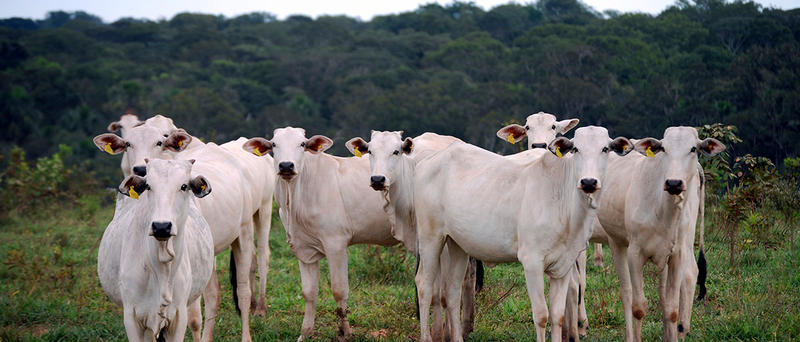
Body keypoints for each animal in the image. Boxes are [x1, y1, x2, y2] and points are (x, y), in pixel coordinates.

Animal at [95, 126, 260, 342]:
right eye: (148, 186)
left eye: (184, 186)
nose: (162, 226)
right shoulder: (133, 318)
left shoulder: (179, 314)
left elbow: (194, 318)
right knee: (214, 295)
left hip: (244, 234)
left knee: (242, 292)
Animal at [239, 127, 398, 342]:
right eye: (273, 144)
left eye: (302, 144)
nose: (286, 165)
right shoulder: (302, 248)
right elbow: (309, 292)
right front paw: (305, 333)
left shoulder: (336, 243)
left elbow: (339, 290)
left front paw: (344, 332)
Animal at [344, 131, 482, 340]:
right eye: (370, 151)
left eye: (396, 151)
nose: (378, 179)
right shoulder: (423, 243)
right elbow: (434, 292)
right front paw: (438, 333)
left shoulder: (439, 242)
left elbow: (443, 292)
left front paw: (445, 333)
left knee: (468, 278)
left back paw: (465, 326)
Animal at [412, 127, 632, 340]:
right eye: (576, 149)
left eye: (605, 149)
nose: (588, 182)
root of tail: (429, 160)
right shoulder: (531, 261)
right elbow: (541, 315)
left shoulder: (564, 265)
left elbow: (558, 315)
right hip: (431, 238)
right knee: (424, 285)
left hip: (458, 244)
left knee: (452, 291)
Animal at [592, 127, 720, 340]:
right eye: (664, 148)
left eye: (693, 148)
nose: (674, 183)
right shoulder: (635, 254)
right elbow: (639, 307)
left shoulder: (676, 254)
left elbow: (671, 309)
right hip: (619, 242)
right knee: (628, 293)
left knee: (686, 277)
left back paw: (680, 330)